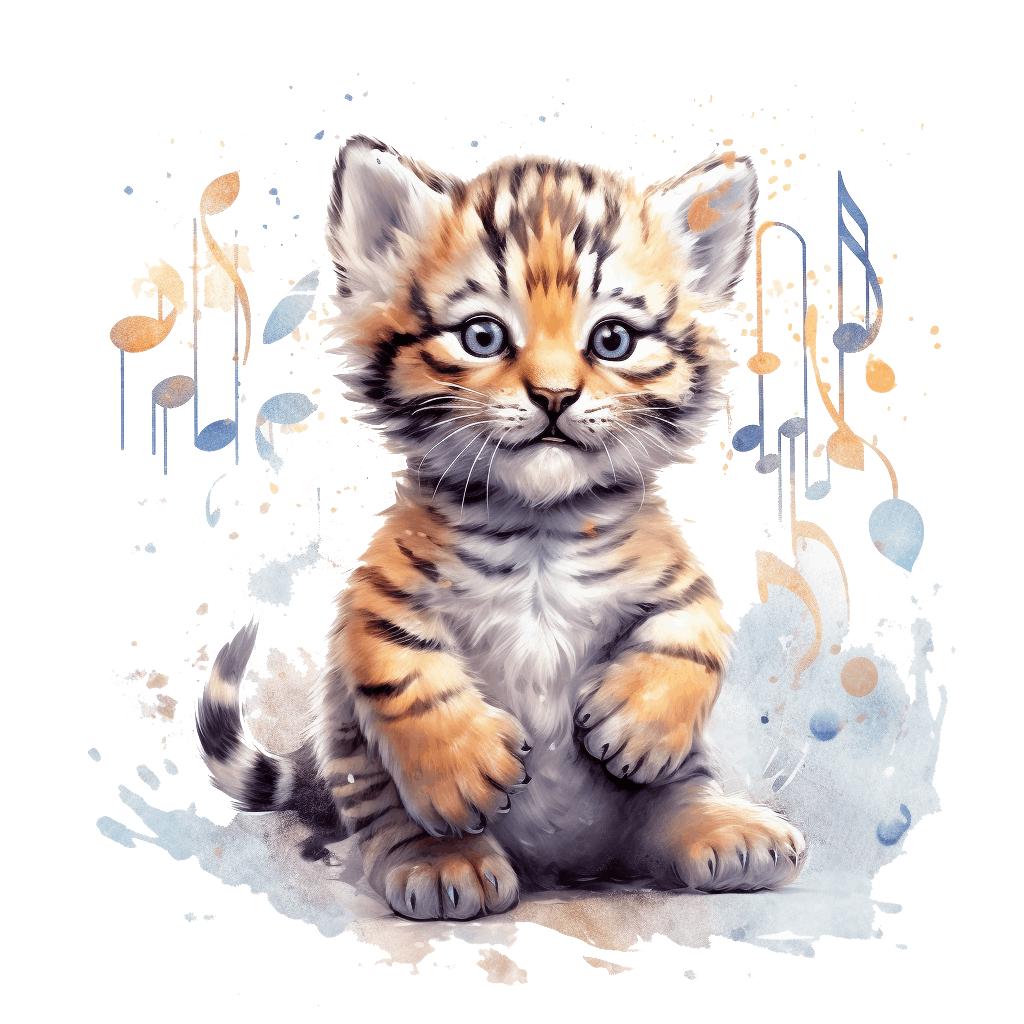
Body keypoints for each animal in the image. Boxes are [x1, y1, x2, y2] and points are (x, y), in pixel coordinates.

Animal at [198, 135, 807, 921]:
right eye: (483, 335)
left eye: (612, 339)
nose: (554, 394)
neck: (539, 524)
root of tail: (570, 867)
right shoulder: (375, 596)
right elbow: (406, 675)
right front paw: (465, 769)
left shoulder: (680, 577)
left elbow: (692, 639)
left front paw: (633, 724)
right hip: (353, 751)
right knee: (388, 814)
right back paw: (443, 861)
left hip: (672, 787)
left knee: (673, 802)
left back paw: (728, 831)